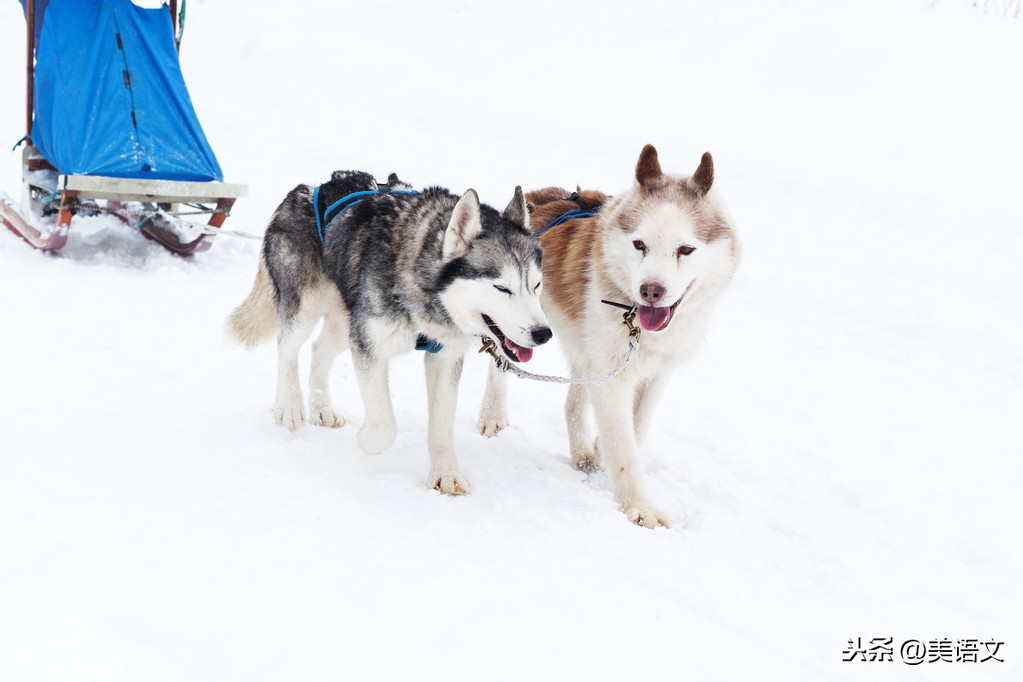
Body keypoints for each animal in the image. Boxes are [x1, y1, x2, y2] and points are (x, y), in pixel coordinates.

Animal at [228, 167, 552, 492]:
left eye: (536, 285)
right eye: (502, 288)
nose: (543, 334)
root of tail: (308, 188)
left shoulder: (444, 356)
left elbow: (442, 426)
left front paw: (445, 473)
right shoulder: (369, 346)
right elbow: (385, 425)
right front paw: (367, 441)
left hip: (346, 323)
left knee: (318, 350)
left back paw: (322, 408)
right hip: (307, 309)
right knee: (287, 346)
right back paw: (290, 407)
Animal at [474, 145, 740, 527]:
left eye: (685, 249)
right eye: (639, 244)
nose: (651, 291)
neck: (638, 324)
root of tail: (537, 198)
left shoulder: (657, 372)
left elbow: (638, 427)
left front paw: (600, 450)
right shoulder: (613, 378)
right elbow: (625, 448)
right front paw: (639, 507)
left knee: (573, 402)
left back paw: (583, 453)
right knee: (500, 362)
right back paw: (493, 414)